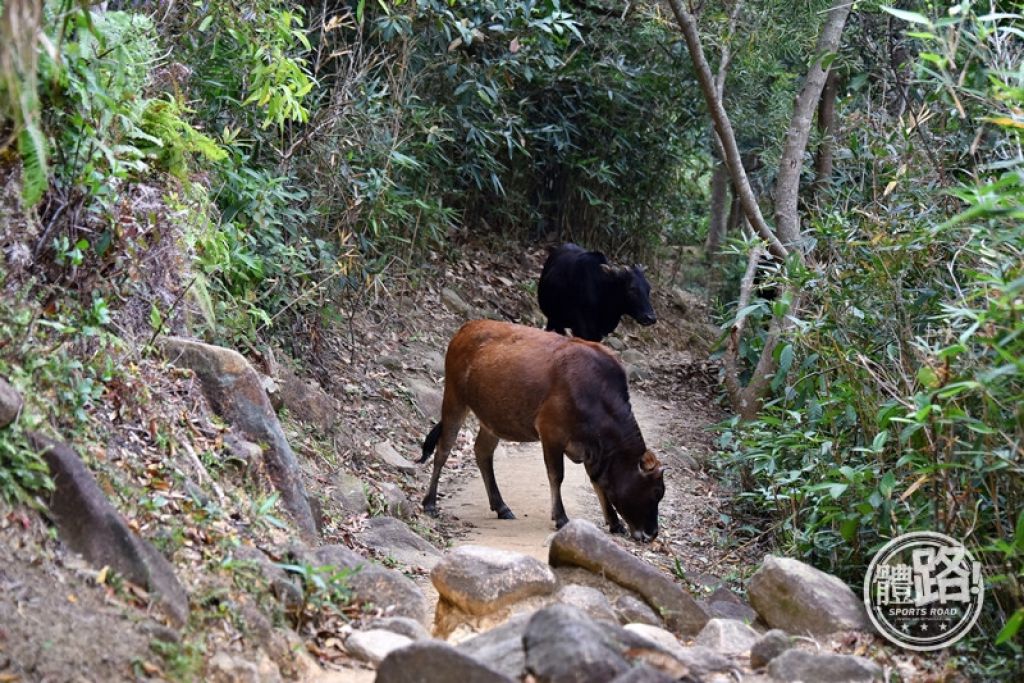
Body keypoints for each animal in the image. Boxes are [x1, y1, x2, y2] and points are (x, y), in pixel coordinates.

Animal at [415, 323, 663, 540]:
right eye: (656, 492)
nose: (652, 534)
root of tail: (465, 329)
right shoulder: (551, 432)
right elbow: (557, 475)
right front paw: (560, 517)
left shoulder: (592, 450)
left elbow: (597, 482)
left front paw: (614, 522)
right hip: (454, 398)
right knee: (443, 449)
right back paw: (430, 503)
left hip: (492, 417)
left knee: (482, 452)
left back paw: (501, 506)